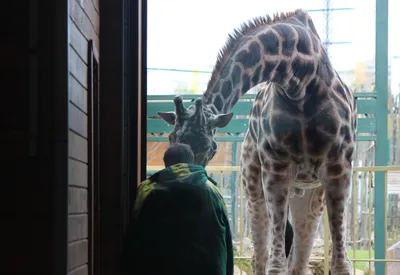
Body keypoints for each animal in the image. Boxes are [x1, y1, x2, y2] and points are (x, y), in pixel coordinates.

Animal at [157, 9, 356, 275]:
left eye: (210, 147)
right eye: (171, 138)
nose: (186, 192)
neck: (300, 80)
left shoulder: (338, 168)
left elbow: (340, 264)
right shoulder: (275, 168)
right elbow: (275, 263)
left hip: (311, 194)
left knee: (298, 259)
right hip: (254, 184)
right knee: (261, 256)